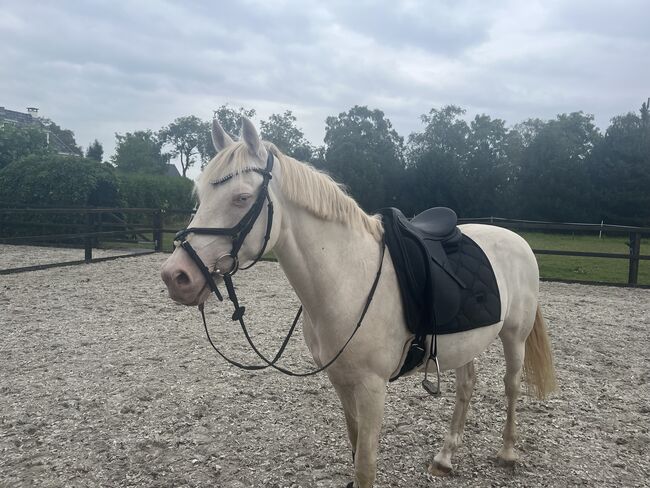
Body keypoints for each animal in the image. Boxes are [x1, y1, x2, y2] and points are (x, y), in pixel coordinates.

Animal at [159, 116, 556, 486]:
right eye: (200, 198)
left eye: (241, 198)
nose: (176, 276)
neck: (348, 279)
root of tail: (515, 238)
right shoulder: (341, 382)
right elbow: (353, 448)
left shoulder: (372, 389)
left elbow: (365, 467)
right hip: (464, 342)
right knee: (466, 386)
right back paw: (445, 457)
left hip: (514, 336)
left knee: (511, 385)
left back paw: (508, 452)